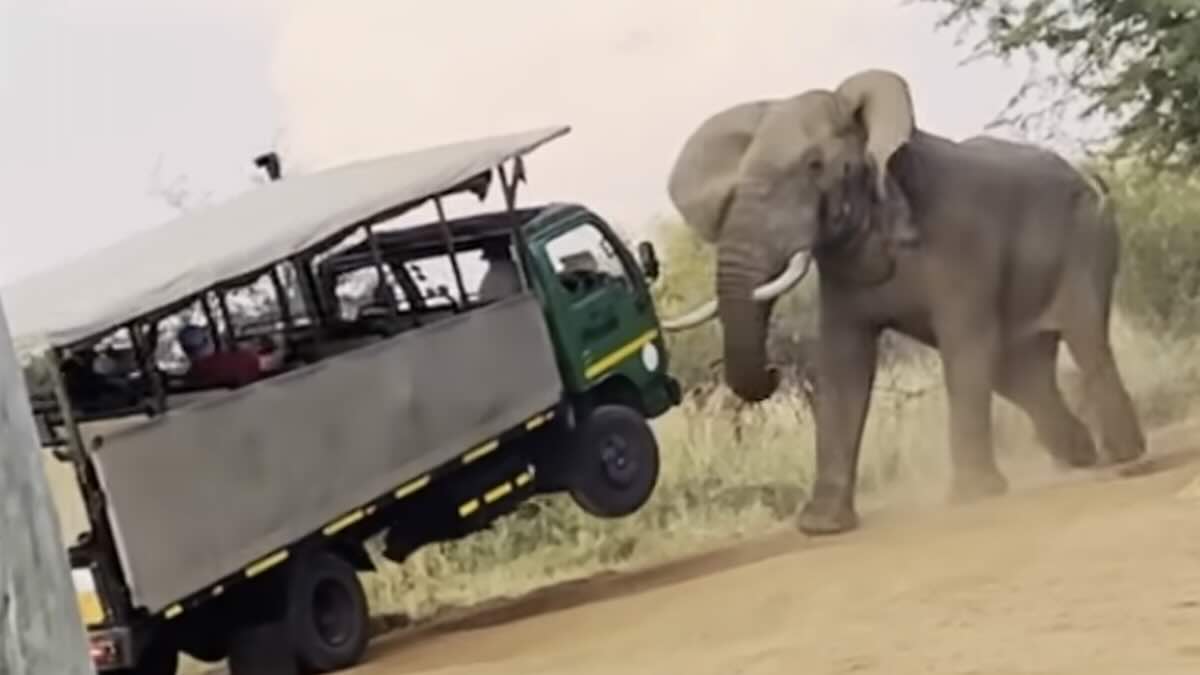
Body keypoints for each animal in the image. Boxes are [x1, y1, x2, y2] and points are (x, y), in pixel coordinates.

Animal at [662, 65, 1147, 533]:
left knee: (1085, 337)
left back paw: (1123, 456)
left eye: (815, 166)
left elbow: (965, 345)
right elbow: (843, 365)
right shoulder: (842, 272)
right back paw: (1078, 455)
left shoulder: (962, 243)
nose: (773, 370)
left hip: (1088, 234)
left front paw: (971, 496)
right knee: (1019, 374)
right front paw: (822, 527)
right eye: (735, 186)